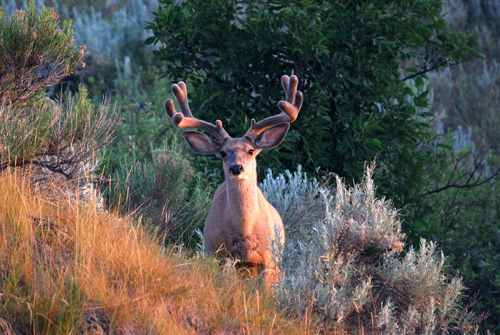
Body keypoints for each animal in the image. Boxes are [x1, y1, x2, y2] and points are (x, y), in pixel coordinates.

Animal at [166, 75, 302, 288]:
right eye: (222, 153)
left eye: (251, 150)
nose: (236, 168)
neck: (244, 232)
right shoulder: (220, 256)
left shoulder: (269, 259)